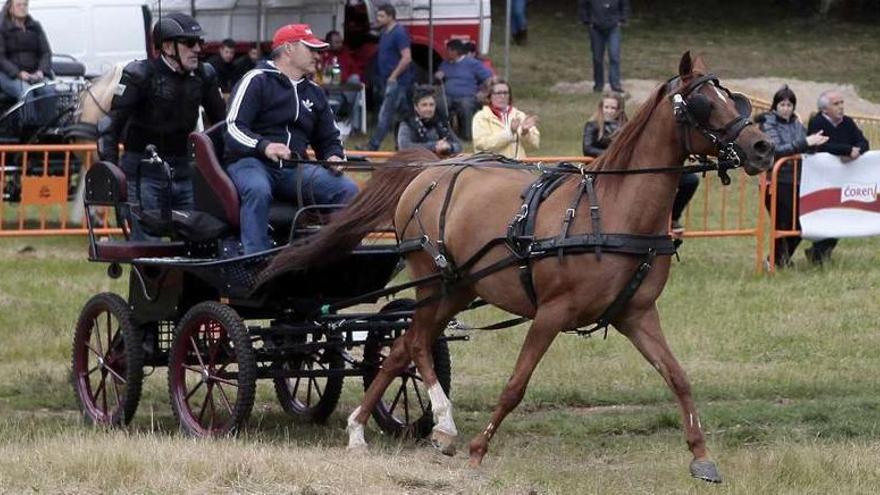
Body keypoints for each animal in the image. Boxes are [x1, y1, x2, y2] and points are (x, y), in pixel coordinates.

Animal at [262, 52, 768, 482]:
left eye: (735, 98)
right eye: (705, 103)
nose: (762, 147)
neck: (609, 211)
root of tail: (430, 170)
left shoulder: (637, 314)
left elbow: (679, 378)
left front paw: (702, 456)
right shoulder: (551, 314)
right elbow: (515, 385)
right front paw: (478, 453)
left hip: (459, 288)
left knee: (405, 345)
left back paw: (377, 427)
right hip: (433, 280)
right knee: (416, 342)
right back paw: (421, 427)